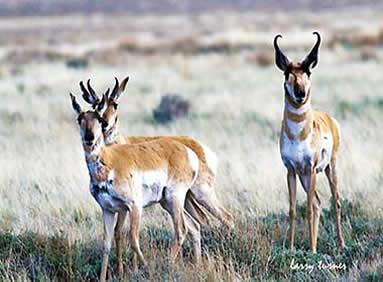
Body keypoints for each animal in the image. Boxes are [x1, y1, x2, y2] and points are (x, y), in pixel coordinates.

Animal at [71, 91, 204, 280]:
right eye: (79, 119)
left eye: (99, 119)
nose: (89, 138)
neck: (109, 162)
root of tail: (187, 151)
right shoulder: (108, 210)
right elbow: (106, 244)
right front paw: (103, 278)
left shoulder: (134, 206)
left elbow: (133, 240)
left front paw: (147, 269)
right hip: (167, 202)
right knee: (194, 226)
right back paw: (197, 266)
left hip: (175, 198)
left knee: (181, 229)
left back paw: (170, 266)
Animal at [80, 77, 234, 231]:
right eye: (95, 107)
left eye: (115, 105)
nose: (104, 124)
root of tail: (200, 147)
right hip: (186, 198)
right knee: (202, 218)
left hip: (201, 192)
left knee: (225, 216)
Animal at [274, 31, 346, 253]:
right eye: (286, 74)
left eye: (308, 72)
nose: (300, 93)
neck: (298, 135)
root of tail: (330, 118)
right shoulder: (291, 171)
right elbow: (293, 209)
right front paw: (290, 248)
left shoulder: (311, 168)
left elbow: (306, 209)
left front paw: (312, 250)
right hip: (305, 177)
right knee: (317, 202)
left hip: (330, 168)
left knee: (335, 201)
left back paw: (341, 244)